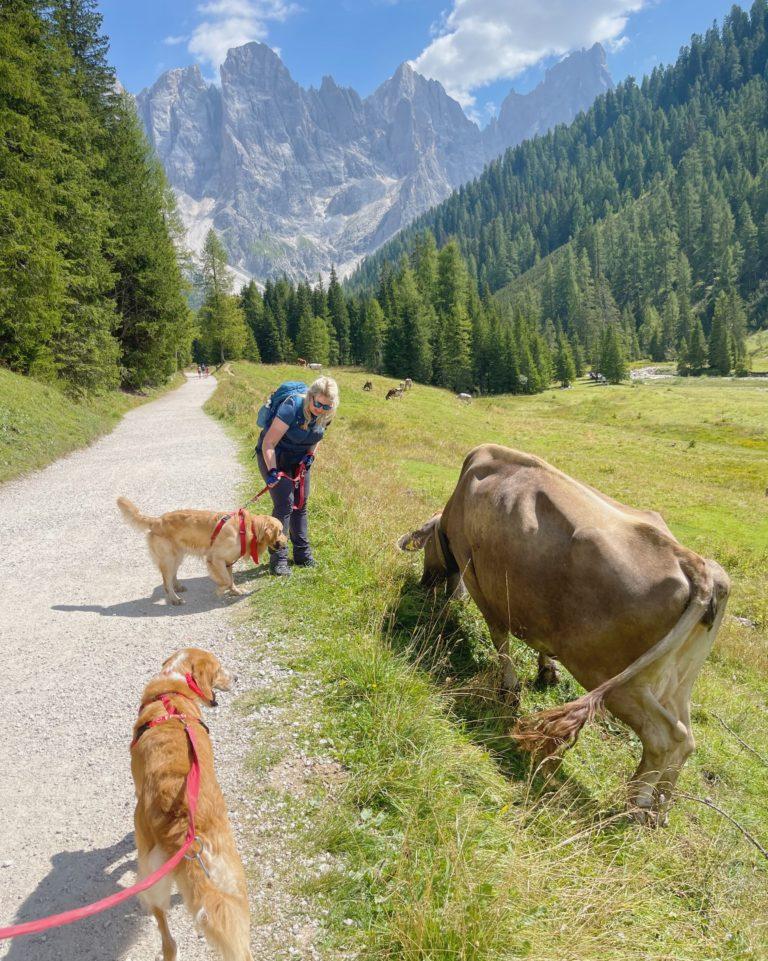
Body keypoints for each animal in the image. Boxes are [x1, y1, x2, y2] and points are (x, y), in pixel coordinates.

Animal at [400, 446, 728, 820]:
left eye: (427, 546)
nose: (424, 584)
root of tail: (693, 564)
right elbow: (539, 643)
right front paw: (547, 671)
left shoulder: (479, 580)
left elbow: (500, 638)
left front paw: (509, 689)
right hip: (675, 681)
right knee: (687, 739)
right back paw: (658, 809)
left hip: (608, 672)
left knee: (666, 737)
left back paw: (635, 806)